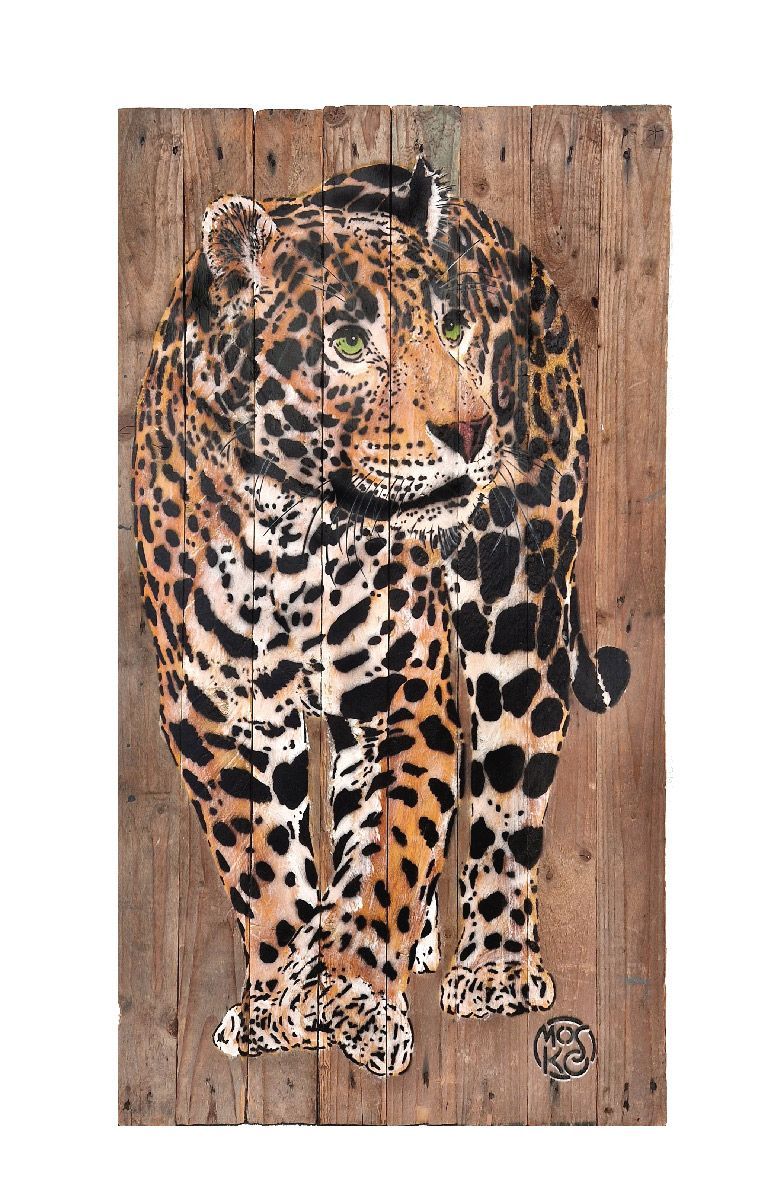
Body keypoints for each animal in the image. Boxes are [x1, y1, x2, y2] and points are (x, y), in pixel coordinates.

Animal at [133, 157, 629, 1078]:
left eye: (454, 327)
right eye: (350, 345)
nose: (472, 427)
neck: (289, 536)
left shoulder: (405, 692)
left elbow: (390, 850)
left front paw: (351, 997)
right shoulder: (214, 712)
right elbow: (265, 871)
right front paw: (279, 1006)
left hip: (520, 611)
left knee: (508, 794)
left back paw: (495, 967)